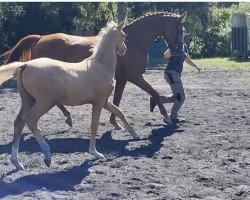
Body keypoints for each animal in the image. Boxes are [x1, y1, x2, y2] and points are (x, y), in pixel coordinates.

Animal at [1, 12, 186, 130]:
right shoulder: (134, 76)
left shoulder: (123, 79)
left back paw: (67, 117)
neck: (135, 41)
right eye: (181, 29)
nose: (178, 49)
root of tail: (40, 38)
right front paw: (166, 117)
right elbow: (153, 92)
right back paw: (68, 117)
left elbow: (117, 100)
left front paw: (115, 122)